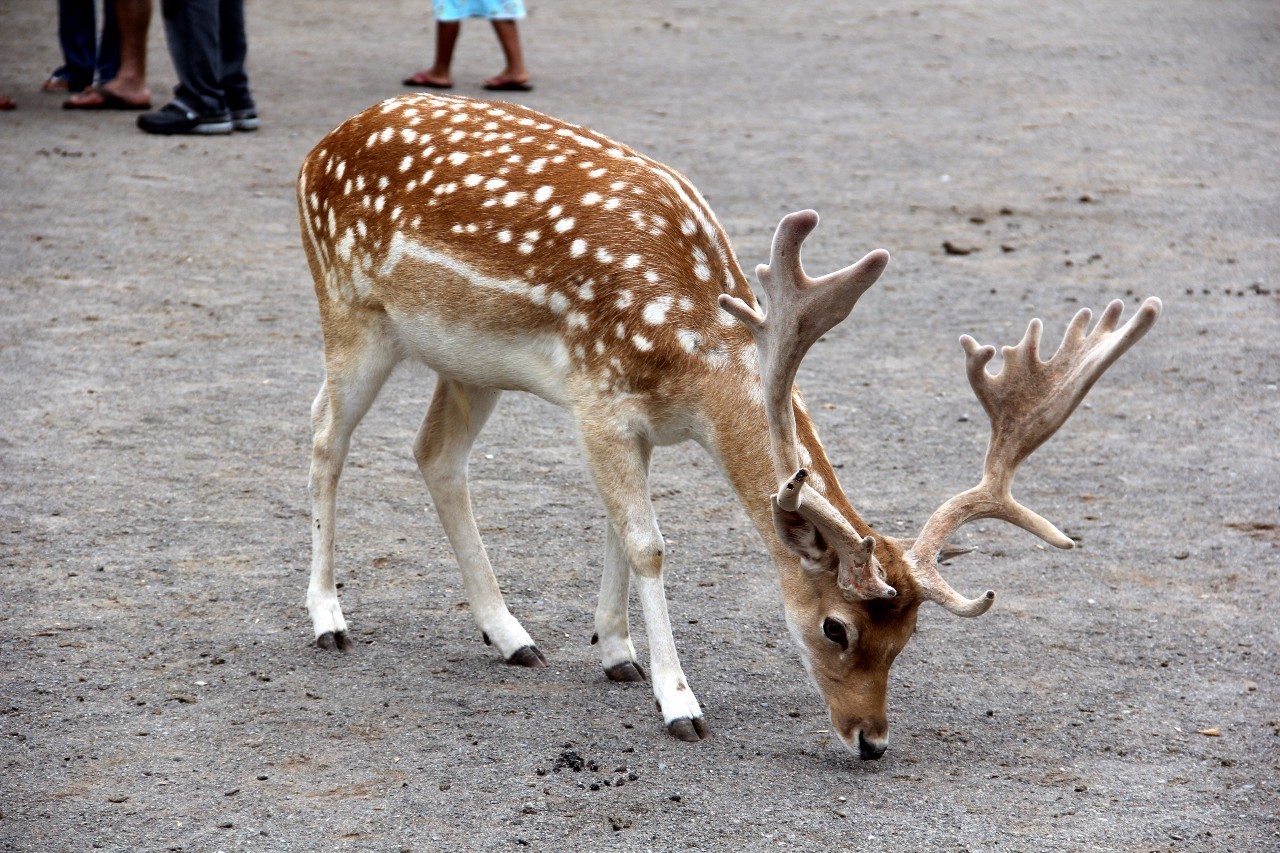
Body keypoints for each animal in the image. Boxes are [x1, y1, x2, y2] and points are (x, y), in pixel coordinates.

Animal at [299, 92, 1162, 758]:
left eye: (909, 638)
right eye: (837, 628)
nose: (873, 739)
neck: (694, 355)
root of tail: (319, 145)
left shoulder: (633, 424)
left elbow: (617, 529)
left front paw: (616, 655)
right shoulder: (598, 400)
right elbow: (649, 544)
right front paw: (679, 703)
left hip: (467, 364)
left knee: (434, 453)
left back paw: (510, 633)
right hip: (351, 309)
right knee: (324, 435)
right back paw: (328, 618)